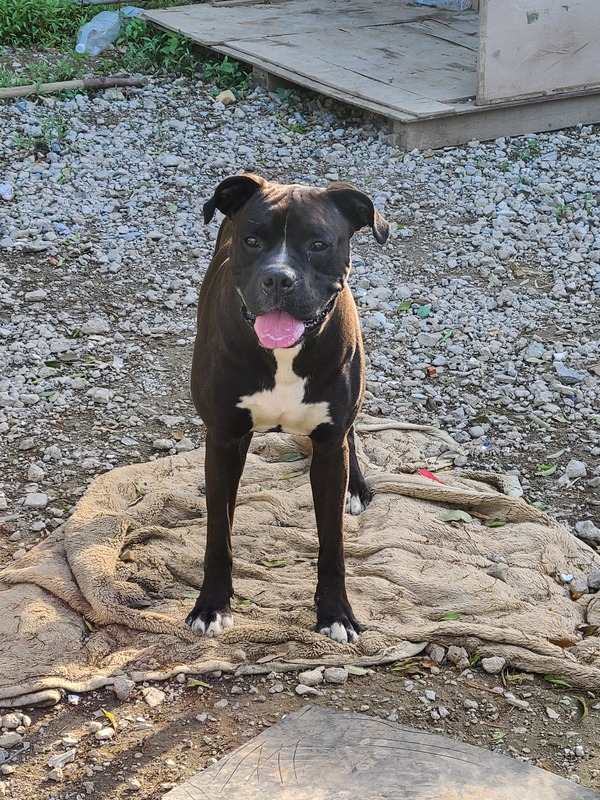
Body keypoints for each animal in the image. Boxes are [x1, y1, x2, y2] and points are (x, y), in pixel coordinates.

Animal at [187, 174, 389, 644]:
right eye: (252, 240)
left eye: (318, 244)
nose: (279, 279)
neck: (283, 356)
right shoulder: (223, 439)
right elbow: (218, 536)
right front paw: (212, 604)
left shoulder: (330, 448)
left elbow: (332, 545)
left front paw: (336, 613)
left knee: (352, 432)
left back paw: (356, 487)